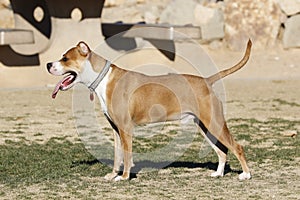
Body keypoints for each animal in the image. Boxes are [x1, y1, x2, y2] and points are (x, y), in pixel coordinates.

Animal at [47, 40, 252, 181]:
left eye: (65, 58)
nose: (48, 64)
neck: (103, 78)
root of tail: (207, 81)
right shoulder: (115, 129)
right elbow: (117, 155)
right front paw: (113, 175)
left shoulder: (125, 129)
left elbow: (127, 156)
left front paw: (124, 177)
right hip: (205, 126)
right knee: (222, 151)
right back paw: (218, 173)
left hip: (214, 123)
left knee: (237, 147)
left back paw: (246, 175)